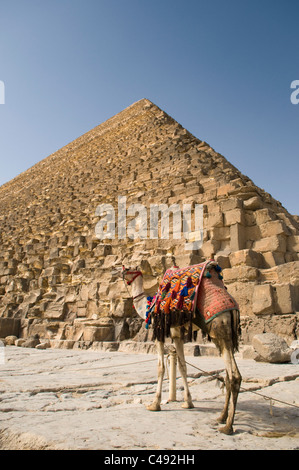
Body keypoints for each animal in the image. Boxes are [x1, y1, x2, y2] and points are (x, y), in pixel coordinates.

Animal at [120, 262, 243, 436]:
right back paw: (221, 417)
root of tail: (232, 309)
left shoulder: (159, 332)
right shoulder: (177, 333)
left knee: (234, 376)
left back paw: (228, 426)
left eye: (128, 268)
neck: (148, 306)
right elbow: (183, 366)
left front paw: (154, 404)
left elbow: (161, 367)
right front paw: (188, 402)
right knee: (228, 375)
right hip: (225, 336)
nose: (117, 271)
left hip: (219, 330)